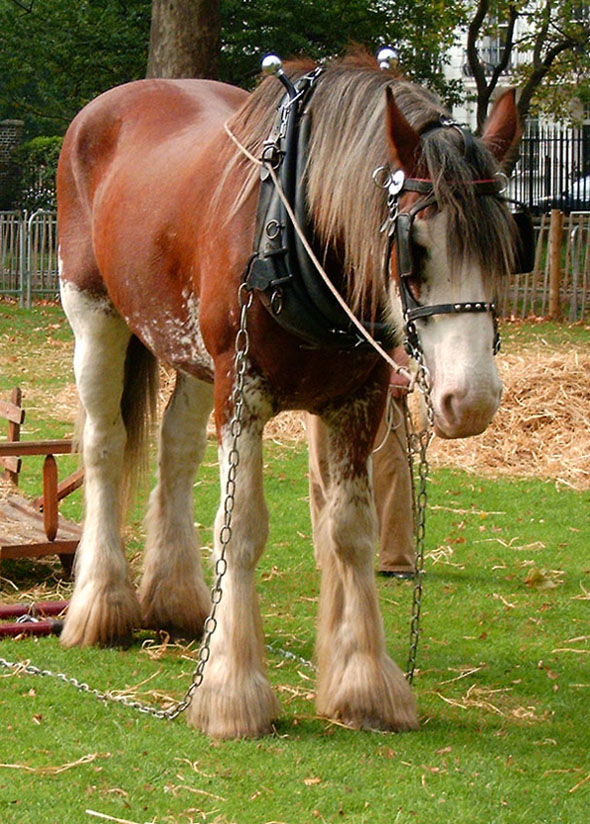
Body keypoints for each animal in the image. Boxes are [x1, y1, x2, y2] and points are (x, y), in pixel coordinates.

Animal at [56, 54, 524, 736]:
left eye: (508, 246)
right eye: (417, 247)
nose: (473, 401)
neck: (295, 232)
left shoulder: (359, 399)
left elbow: (351, 530)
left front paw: (365, 686)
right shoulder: (243, 392)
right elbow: (241, 528)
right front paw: (231, 692)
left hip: (191, 352)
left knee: (176, 450)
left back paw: (176, 599)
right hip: (95, 313)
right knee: (104, 445)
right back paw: (102, 605)